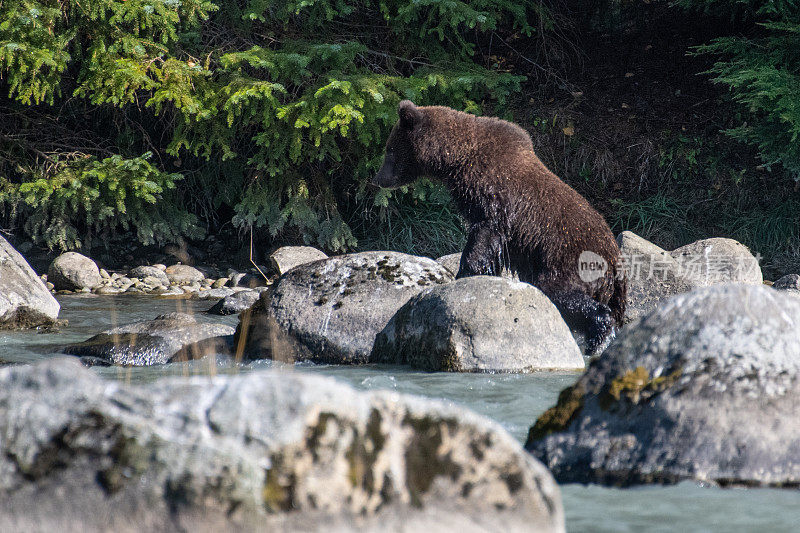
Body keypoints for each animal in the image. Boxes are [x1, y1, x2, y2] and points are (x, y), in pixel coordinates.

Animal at [372, 100, 628, 354]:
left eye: (389, 149)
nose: (378, 179)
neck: (458, 160)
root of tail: (616, 262)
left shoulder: (495, 195)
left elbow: (485, 235)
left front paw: (464, 273)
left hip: (570, 259)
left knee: (558, 291)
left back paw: (599, 337)